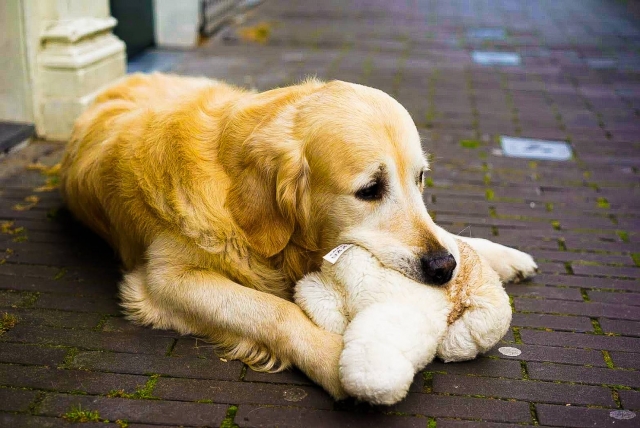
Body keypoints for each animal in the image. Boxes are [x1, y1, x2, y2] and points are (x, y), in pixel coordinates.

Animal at [58, 73, 536, 398]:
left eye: (420, 179)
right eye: (370, 190)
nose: (443, 268)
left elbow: (451, 234)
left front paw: (497, 255)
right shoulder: (163, 280)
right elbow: (274, 311)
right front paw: (333, 360)